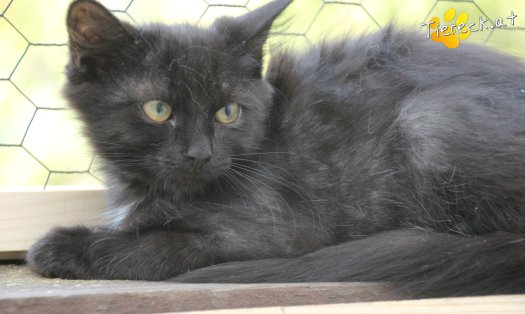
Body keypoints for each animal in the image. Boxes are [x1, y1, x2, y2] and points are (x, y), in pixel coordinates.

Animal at [27, 0, 524, 298]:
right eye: (157, 109)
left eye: (228, 111)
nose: (199, 155)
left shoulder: (277, 229)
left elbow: (162, 244)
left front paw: (64, 247)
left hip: (427, 119)